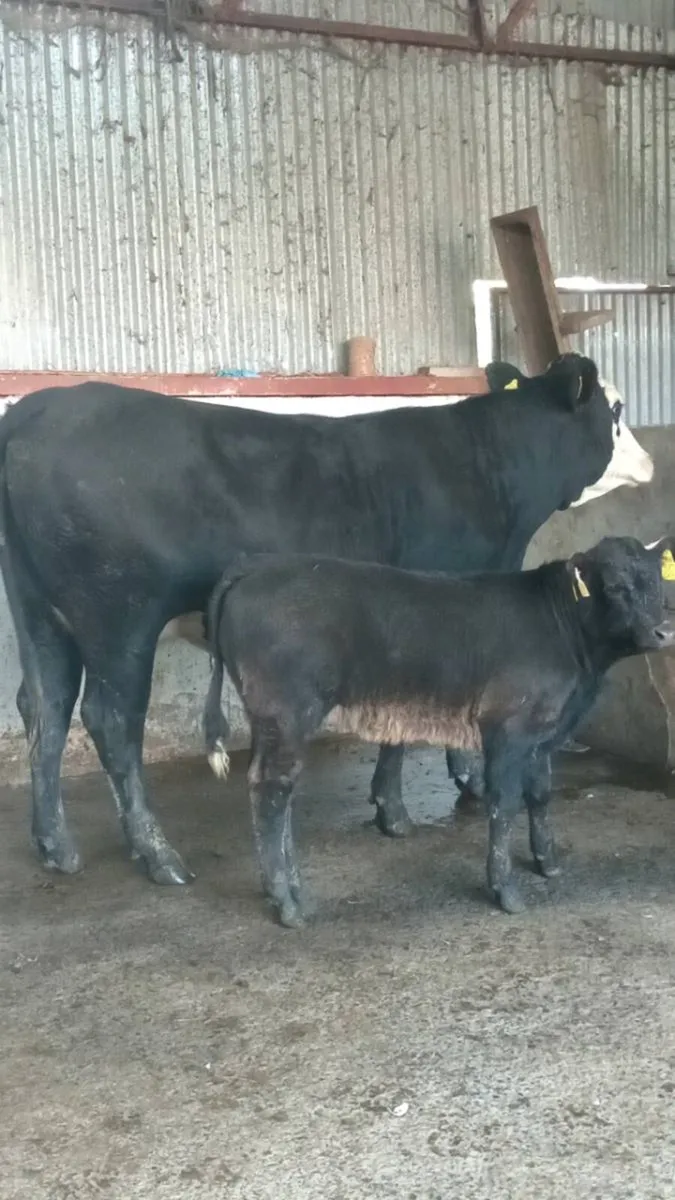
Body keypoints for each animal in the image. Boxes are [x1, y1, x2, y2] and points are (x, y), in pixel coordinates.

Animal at [0, 354, 653, 886]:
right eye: (617, 409)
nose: (649, 461)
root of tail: (35, 409)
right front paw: (405, 808)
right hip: (119, 616)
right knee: (109, 720)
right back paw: (157, 854)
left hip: (38, 612)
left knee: (44, 707)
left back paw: (55, 845)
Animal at [202, 538, 675, 926]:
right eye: (615, 587)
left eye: (658, 582)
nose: (663, 630)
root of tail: (256, 563)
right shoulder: (508, 728)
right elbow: (505, 804)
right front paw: (505, 890)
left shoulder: (543, 732)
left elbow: (540, 795)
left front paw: (548, 861)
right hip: (288, 711)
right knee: (272, 789)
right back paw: (287, 901)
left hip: (271, 720)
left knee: (276, 789)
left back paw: (290, 888)